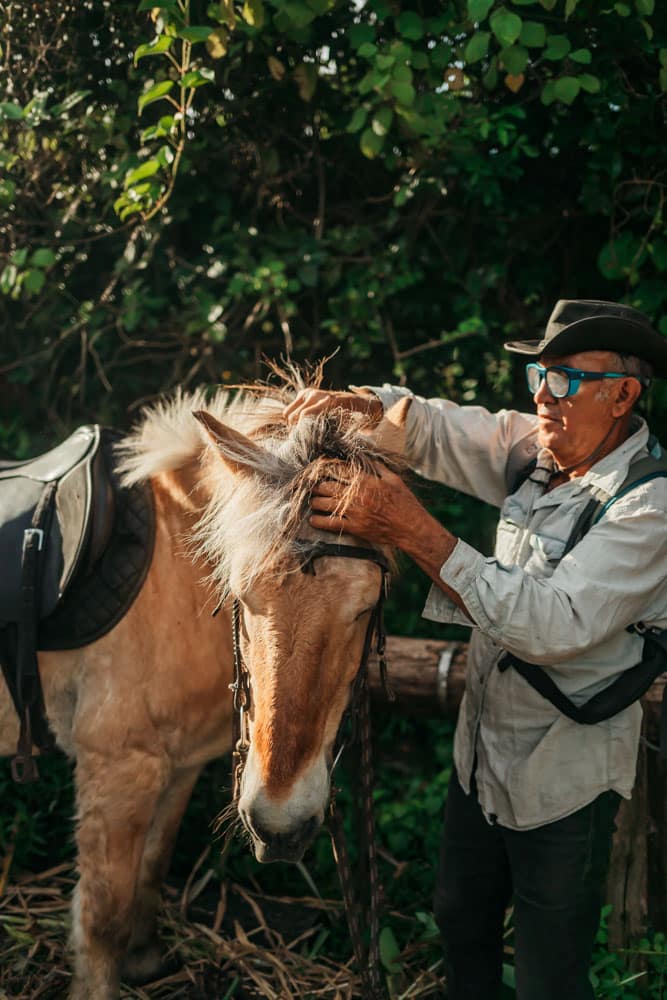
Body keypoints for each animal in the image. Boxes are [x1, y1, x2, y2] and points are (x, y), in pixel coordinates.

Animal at [0, 376, 410, 1000]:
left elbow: (152, 869)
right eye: (241, 593)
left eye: (366, 607)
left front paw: (146, 960)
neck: (170, 585)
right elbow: (102, 917)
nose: (280, 827)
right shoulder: (119, 769)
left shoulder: (178, 765)